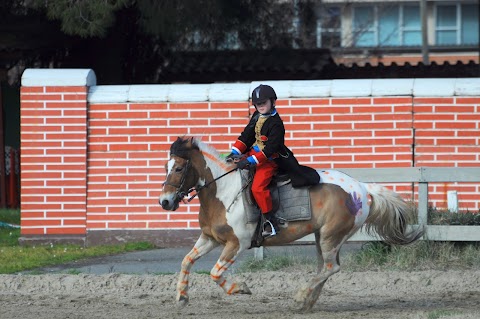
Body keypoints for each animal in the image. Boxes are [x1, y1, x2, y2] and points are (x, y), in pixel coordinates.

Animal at [158, 137, 424, 312]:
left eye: (179, 168)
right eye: (166, 167)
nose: (165, 202)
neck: (223, 192)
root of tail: (362, 188)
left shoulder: (236, 243)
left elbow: (215, 272)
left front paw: (242, 288)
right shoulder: (210, 238)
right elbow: (187, 261)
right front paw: (182, 297)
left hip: (331, 236)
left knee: (331, 267)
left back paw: (301, 298)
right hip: (323, 237)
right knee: (325, 268)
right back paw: (308, 302)